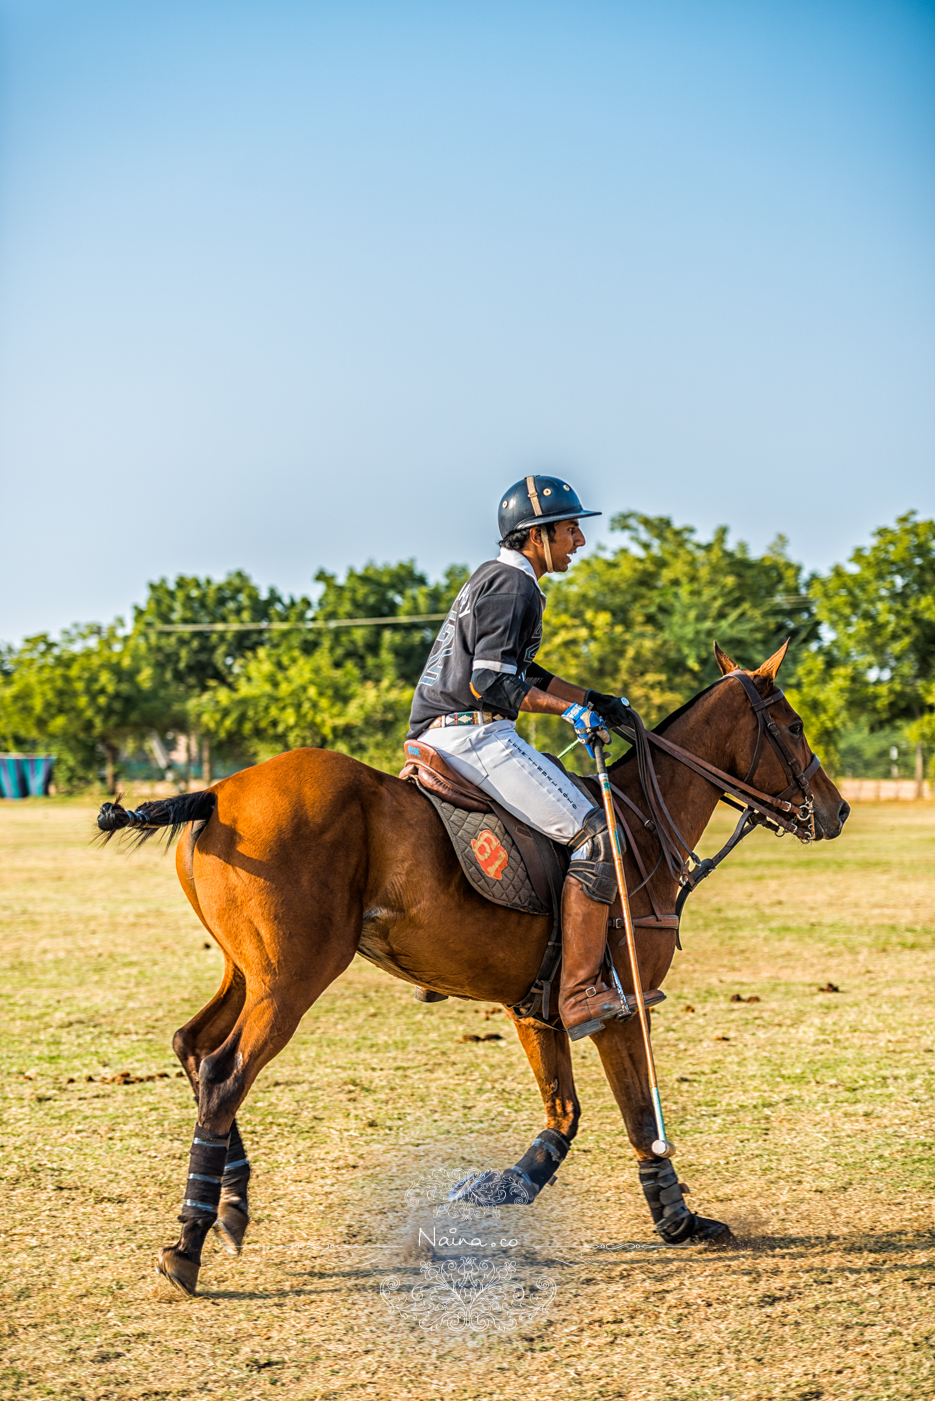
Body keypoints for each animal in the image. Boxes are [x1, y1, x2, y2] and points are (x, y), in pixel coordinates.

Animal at [96, 641, 846, 1288]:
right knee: (225, 1073)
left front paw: (500, 1185)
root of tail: (216, 795)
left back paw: (231, 1207)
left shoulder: (537, 1004)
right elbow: (640, 1117)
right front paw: (680, 1221)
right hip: (293, 976)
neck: (637, 825)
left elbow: (564, 1112)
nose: (835, 811)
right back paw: (188, 1245)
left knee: (193, 1048)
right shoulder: (618, 1000)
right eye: (793, 724)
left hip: (245, 969)